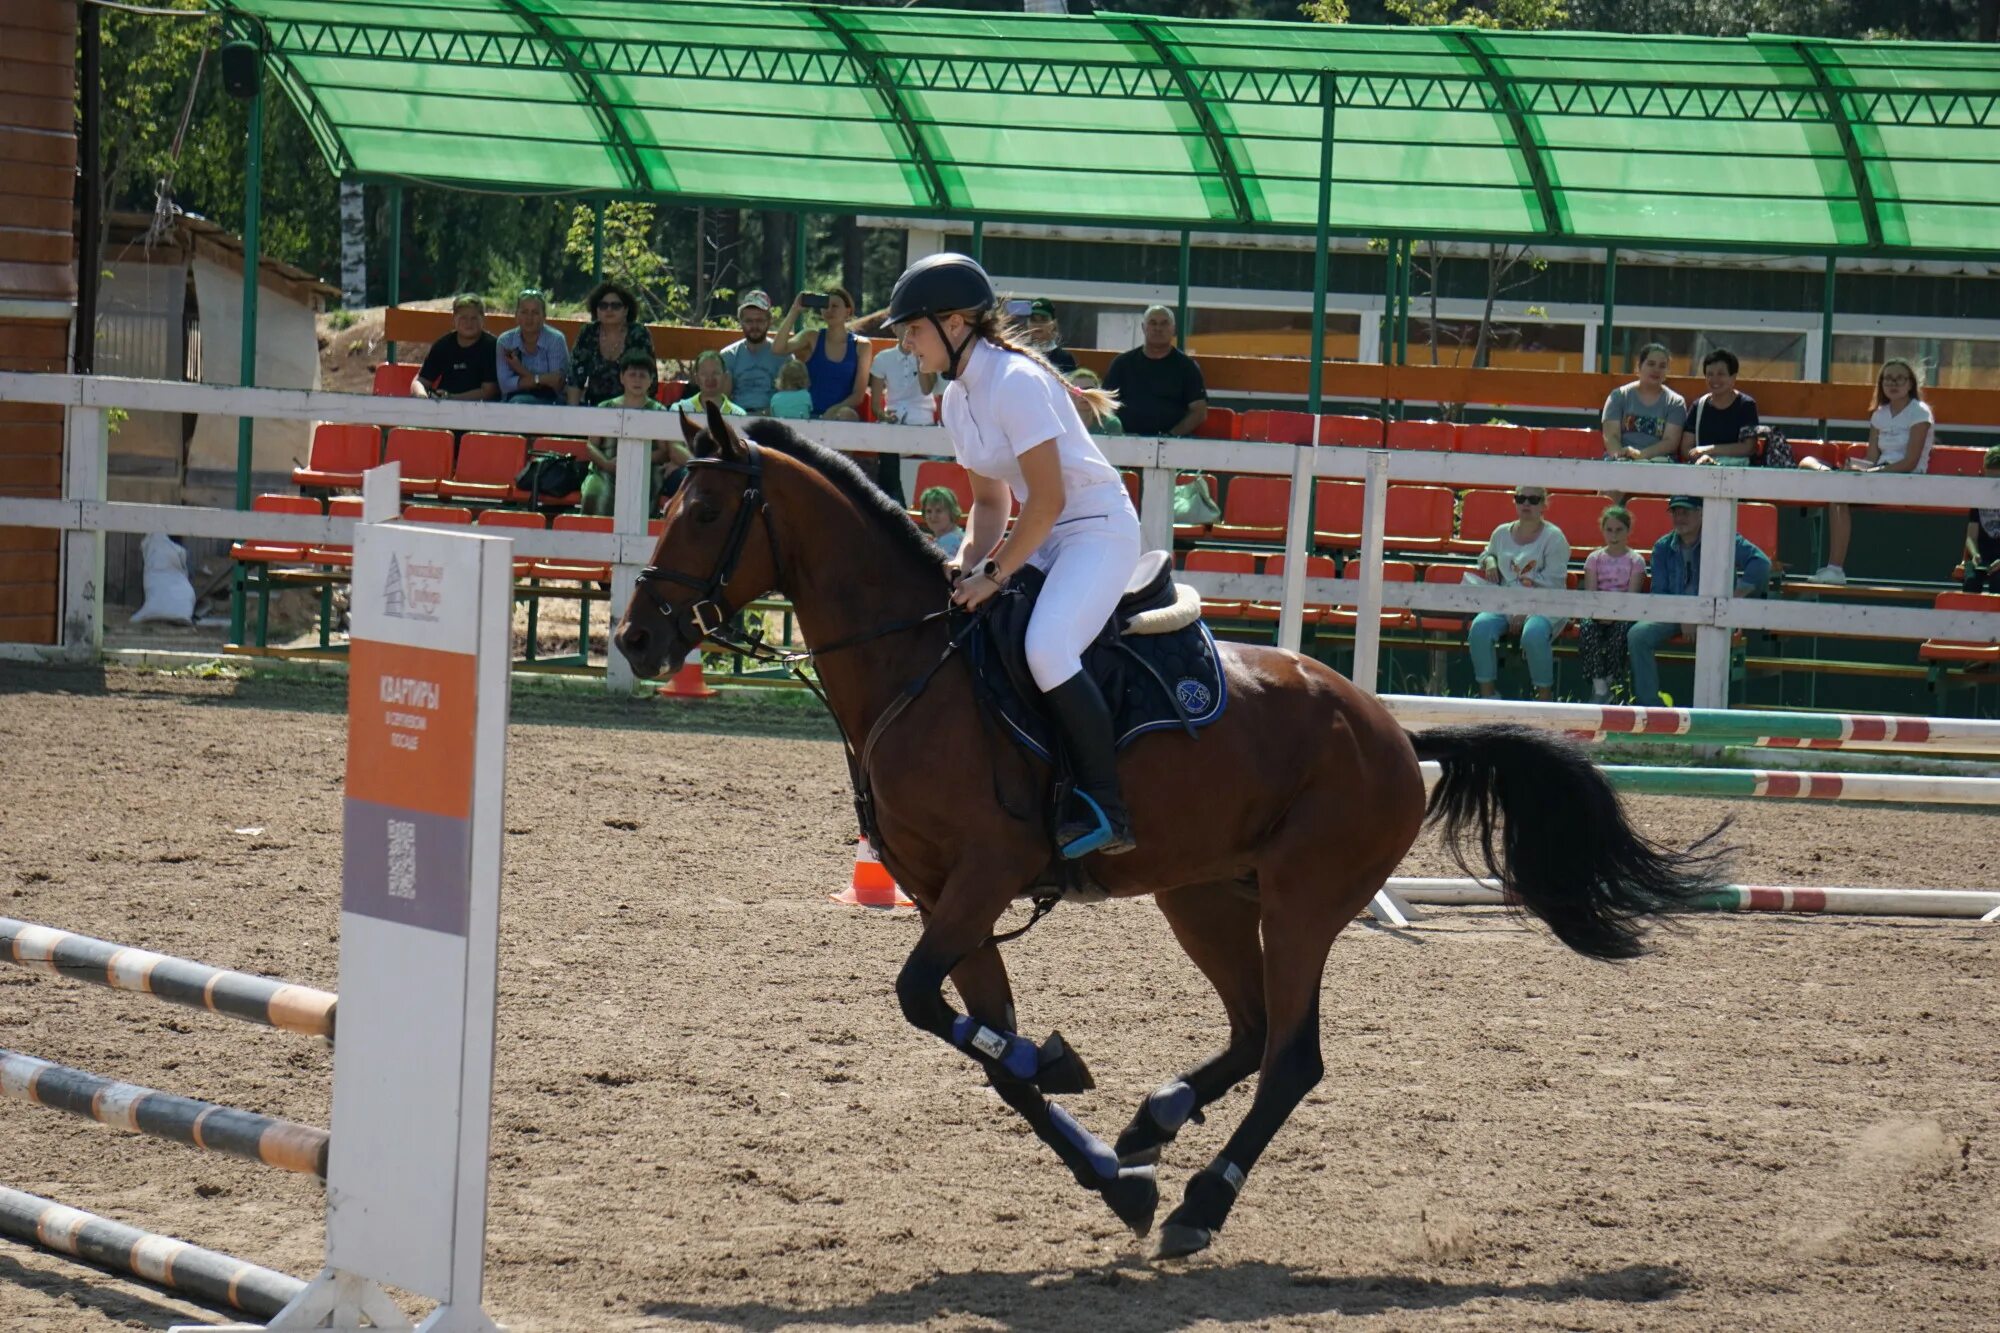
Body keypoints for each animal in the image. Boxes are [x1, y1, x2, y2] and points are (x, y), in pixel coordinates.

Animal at [616, 408, 1728, 1256]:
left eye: (704, 511)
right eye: (665, 505)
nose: (636, 637)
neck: (914, 670)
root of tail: (1387, 727)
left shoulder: (984, 876)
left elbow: (925, 1004)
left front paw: (1070, 1081)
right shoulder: (945, 896)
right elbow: (984, 1045)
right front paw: (1111, 1172)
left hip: (1303, 900)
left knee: (1291, 1057)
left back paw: (1203, 1202)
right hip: (1203, 895)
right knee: (1250, 1032)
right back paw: (1153, 1126)